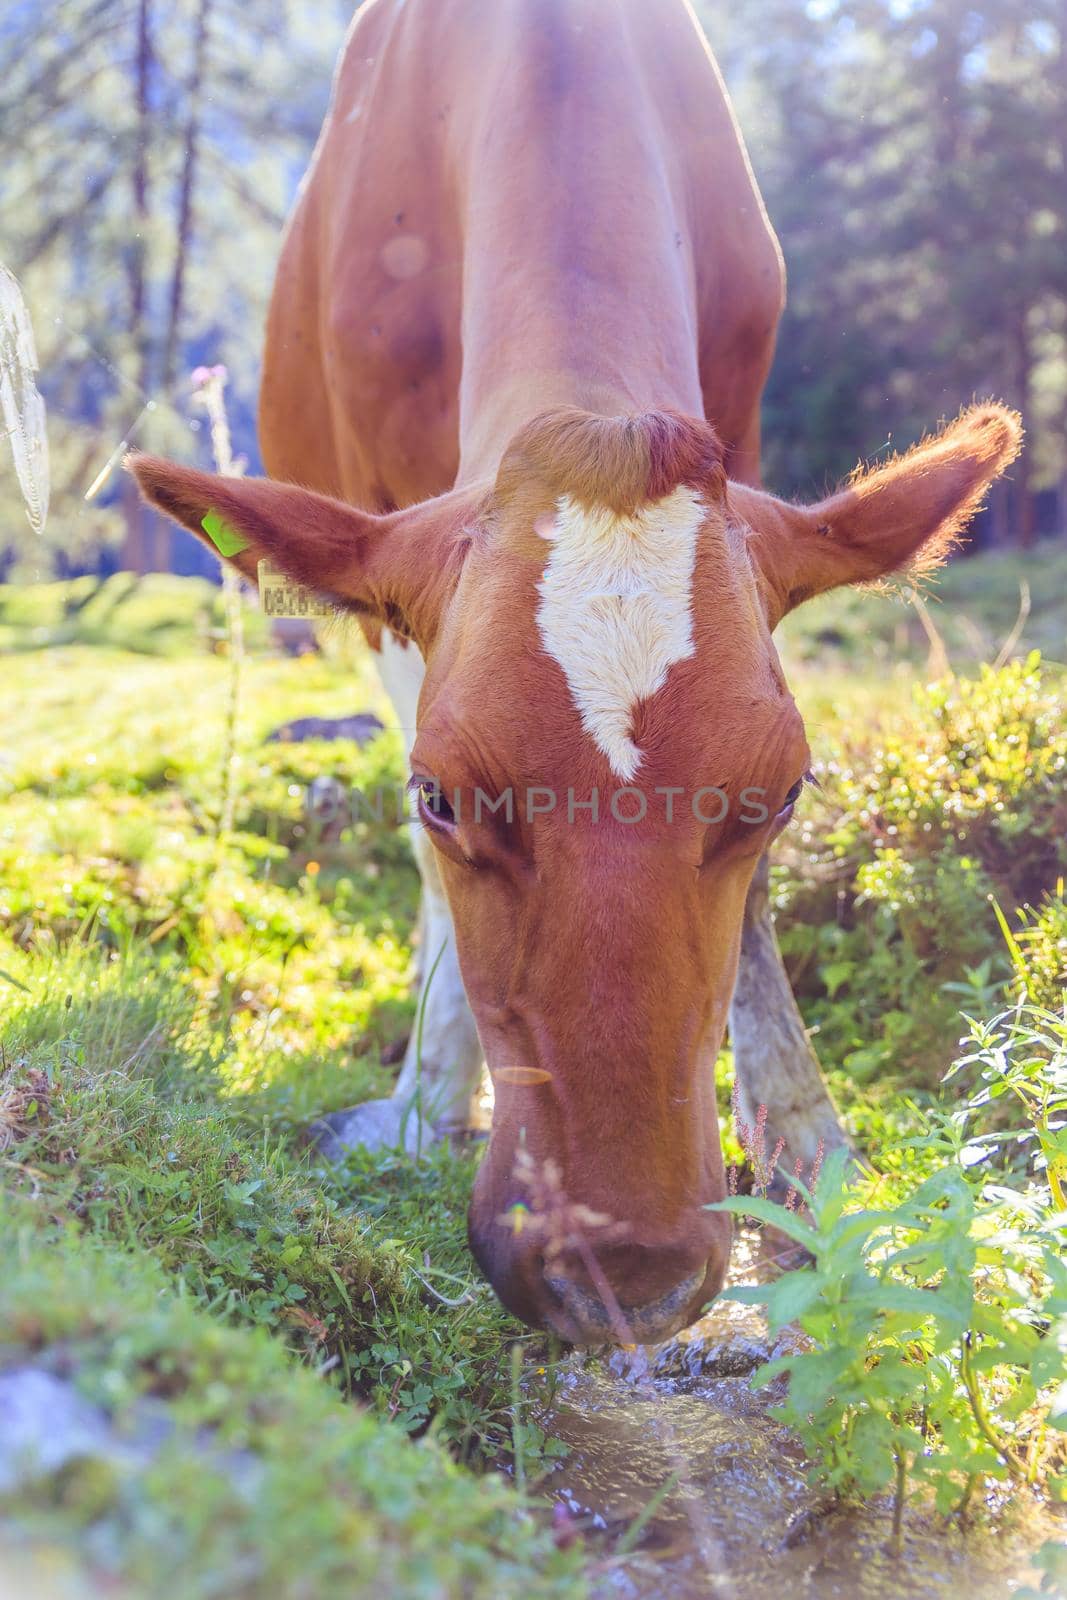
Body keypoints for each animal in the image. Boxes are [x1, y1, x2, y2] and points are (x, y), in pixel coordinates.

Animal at [133, 0, 1017, 1344]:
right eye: (439, 794)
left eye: (779, 795)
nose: (624, 1271)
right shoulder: (389, 543)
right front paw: (424, 1096)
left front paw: (805, 1143)